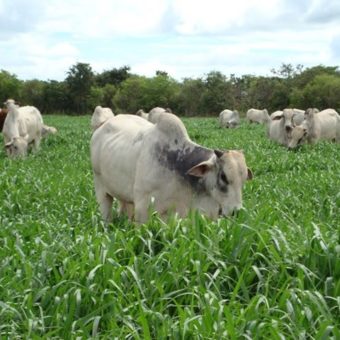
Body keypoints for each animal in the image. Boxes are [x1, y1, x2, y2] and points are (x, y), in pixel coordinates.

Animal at [90, 112, 252, 223]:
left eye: (244, 180)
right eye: (223, 176)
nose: (236, 212)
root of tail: (101, 127)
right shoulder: (143, 207)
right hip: (101, 190)